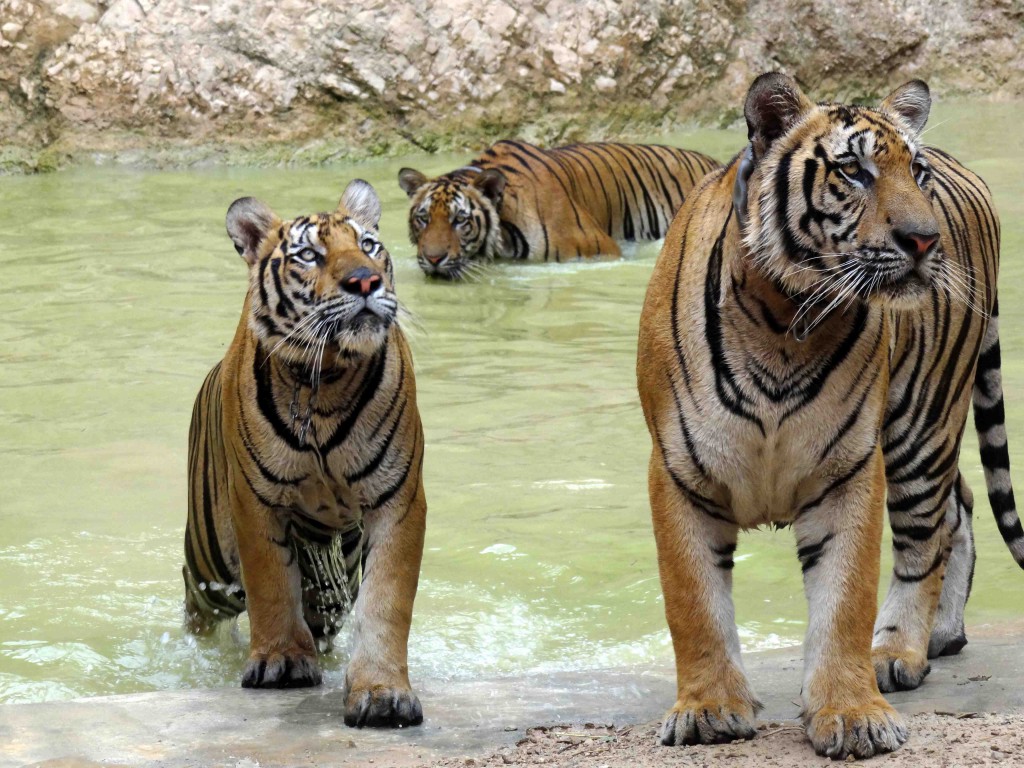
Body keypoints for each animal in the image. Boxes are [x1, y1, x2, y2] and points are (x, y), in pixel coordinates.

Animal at [182, 177, 425, 729]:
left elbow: (387, 601)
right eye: (310, 255)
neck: (327, 379)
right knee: (199, 608)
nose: (365, 282)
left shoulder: (398, 500)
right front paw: (281, 662)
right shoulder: (255, 502)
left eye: (370, 246)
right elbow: (271, 585)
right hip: (208, 562)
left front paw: (382, 692)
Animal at [634, 73, 1019, 765]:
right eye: (853, 171)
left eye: (914, 172)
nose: (925, 241)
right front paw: (708, 709)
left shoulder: (850, 468)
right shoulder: (679, 470)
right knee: (962, 503)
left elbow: (844, 601)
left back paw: (898, 650)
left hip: (922, 422)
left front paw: (851, 712)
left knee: (928, 534)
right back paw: (943, 634)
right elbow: (693, 601)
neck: (782, 317)